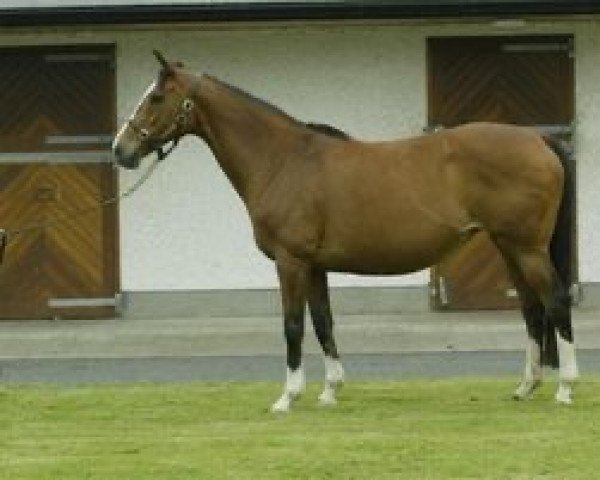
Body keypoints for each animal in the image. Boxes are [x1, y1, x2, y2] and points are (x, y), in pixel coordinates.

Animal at [111, 52, 576, 412]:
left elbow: (293, 325)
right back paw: (526, 387)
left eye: (156, 97)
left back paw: (565, 388)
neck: (282, 160)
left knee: (555, 300)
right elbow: (323, 322)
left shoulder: (291, 262)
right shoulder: (315, 266)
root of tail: (538, 139)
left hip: (527, 248)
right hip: (509, 247)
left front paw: (287, 397)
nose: (120, 150)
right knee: (531, 308)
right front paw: (330, 391)